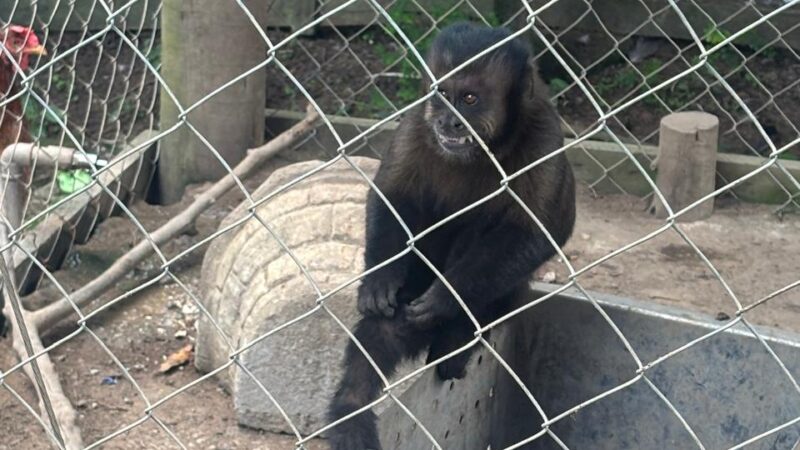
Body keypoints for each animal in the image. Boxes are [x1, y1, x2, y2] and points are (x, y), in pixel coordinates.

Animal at [327, 22, 576, 450]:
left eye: (470, 99)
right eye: (444, 96)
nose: (448, 121)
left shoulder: (543, 134)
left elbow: (540, 232)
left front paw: (447, 298)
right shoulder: (416, 120)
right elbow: (393, 195)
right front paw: (379, 281)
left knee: (483, 226)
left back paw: (457, 333)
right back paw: (352, 403)